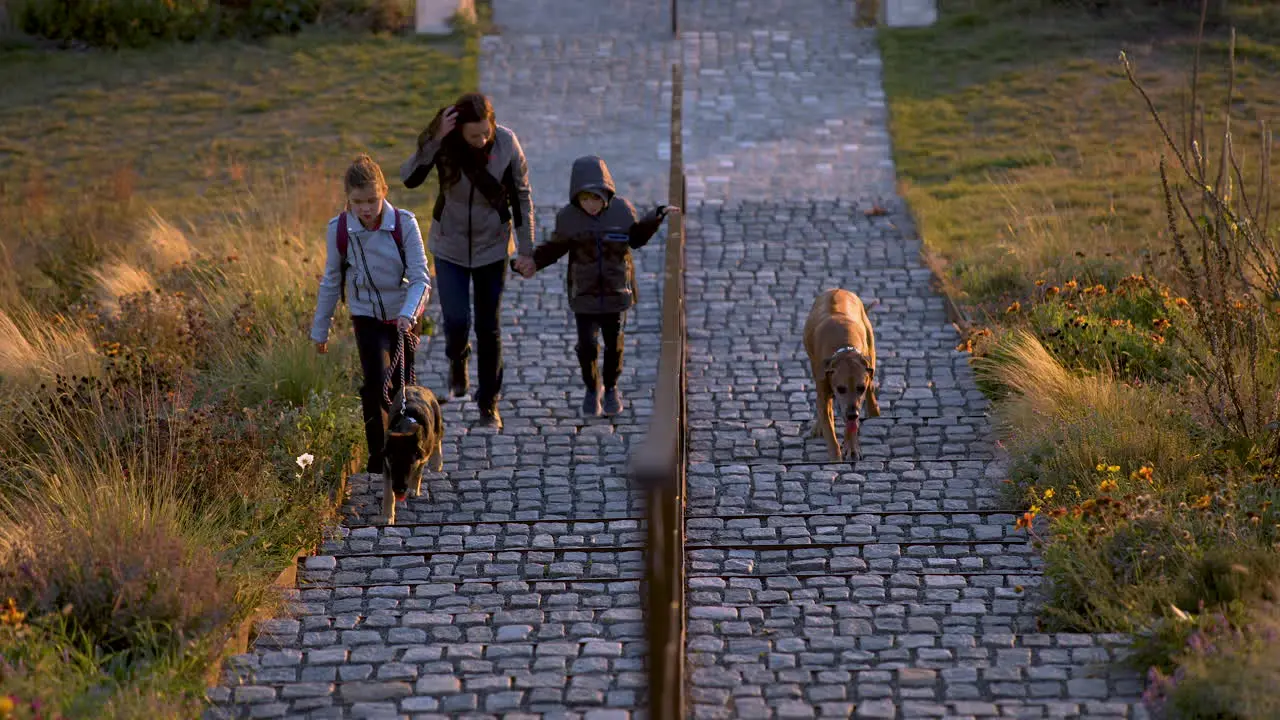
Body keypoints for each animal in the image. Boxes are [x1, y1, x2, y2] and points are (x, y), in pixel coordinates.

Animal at [373, 384, 445, 525]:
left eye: (410, 463)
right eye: (392, 461)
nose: (399, 490)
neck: (405, 427)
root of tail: (416, 386)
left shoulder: (422, 456)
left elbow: (417, 473)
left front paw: (413, 488)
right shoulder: (387, 466)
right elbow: (388, 492)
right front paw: (387, 516)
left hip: (437, 423)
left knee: (438, 438)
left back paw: (437, 463)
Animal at [798, 286, 880, 458]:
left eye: (860, 388)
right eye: (841, 389)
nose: (853, 414)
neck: (844, 349)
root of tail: (838, 289)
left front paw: (852, 446)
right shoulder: (825, 386)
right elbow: (829, 429)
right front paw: (836, 457)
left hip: (871, 351)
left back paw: (873, 410)